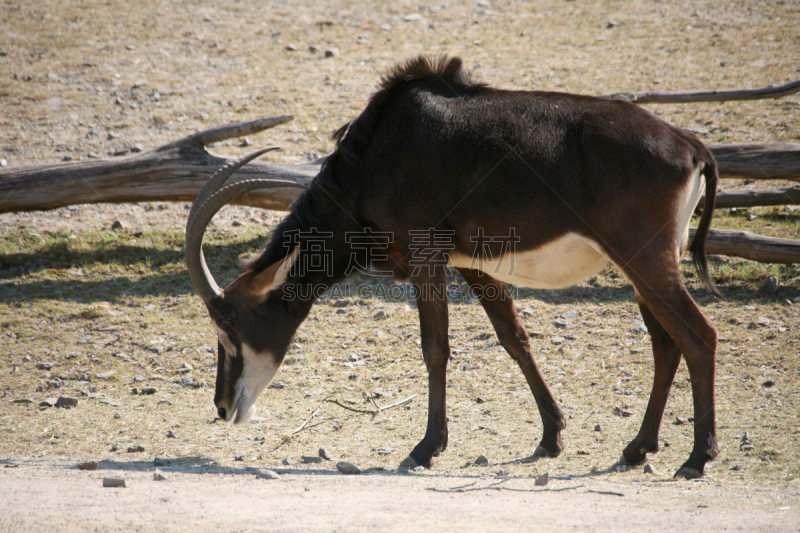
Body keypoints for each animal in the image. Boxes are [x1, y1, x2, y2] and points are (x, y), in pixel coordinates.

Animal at [186, 55, 720, 478]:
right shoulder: (472, 264)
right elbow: (513, 337)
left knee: (698, 336)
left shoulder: (427, 255)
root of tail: (691, 147)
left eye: (228, 325)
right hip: (643, 265)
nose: (222, 407)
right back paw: (637, 448)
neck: (377, 153)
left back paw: (697, 457)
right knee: (665, 343)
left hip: (643, 259)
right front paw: (551, 437)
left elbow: (435, 348)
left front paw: (425, 448)